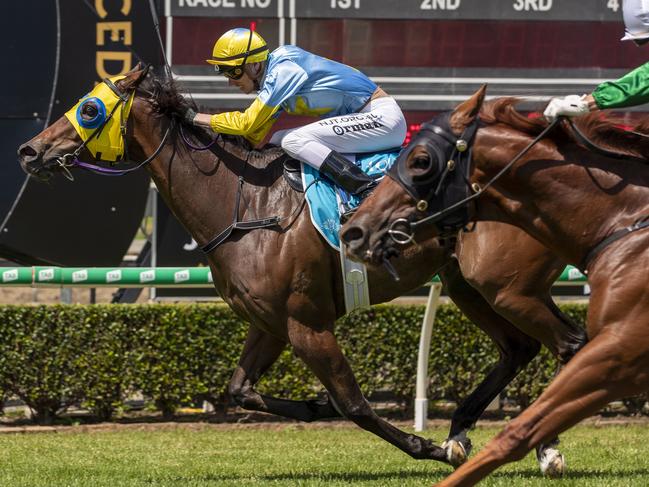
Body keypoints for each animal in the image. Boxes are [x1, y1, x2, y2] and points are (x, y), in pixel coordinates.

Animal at [17, 67, 584, 472]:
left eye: (89, 108)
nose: (29, 150)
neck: (245, 206)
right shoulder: (268, 322)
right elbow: (239, 389)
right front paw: (314, 408)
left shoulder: (307, 322)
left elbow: (354, 404)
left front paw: (424, 445)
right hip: (469, 284)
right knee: (523, 347)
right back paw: (503, 436)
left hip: (505, 286)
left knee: (568, 343)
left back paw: (529, 441)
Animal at [340, 86, 648, 486]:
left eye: (421, 161)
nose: (353, 230)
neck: (622, 218)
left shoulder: (620, 349)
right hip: (476, 287)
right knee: (526, 347)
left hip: (507, 290)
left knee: (562, 344)